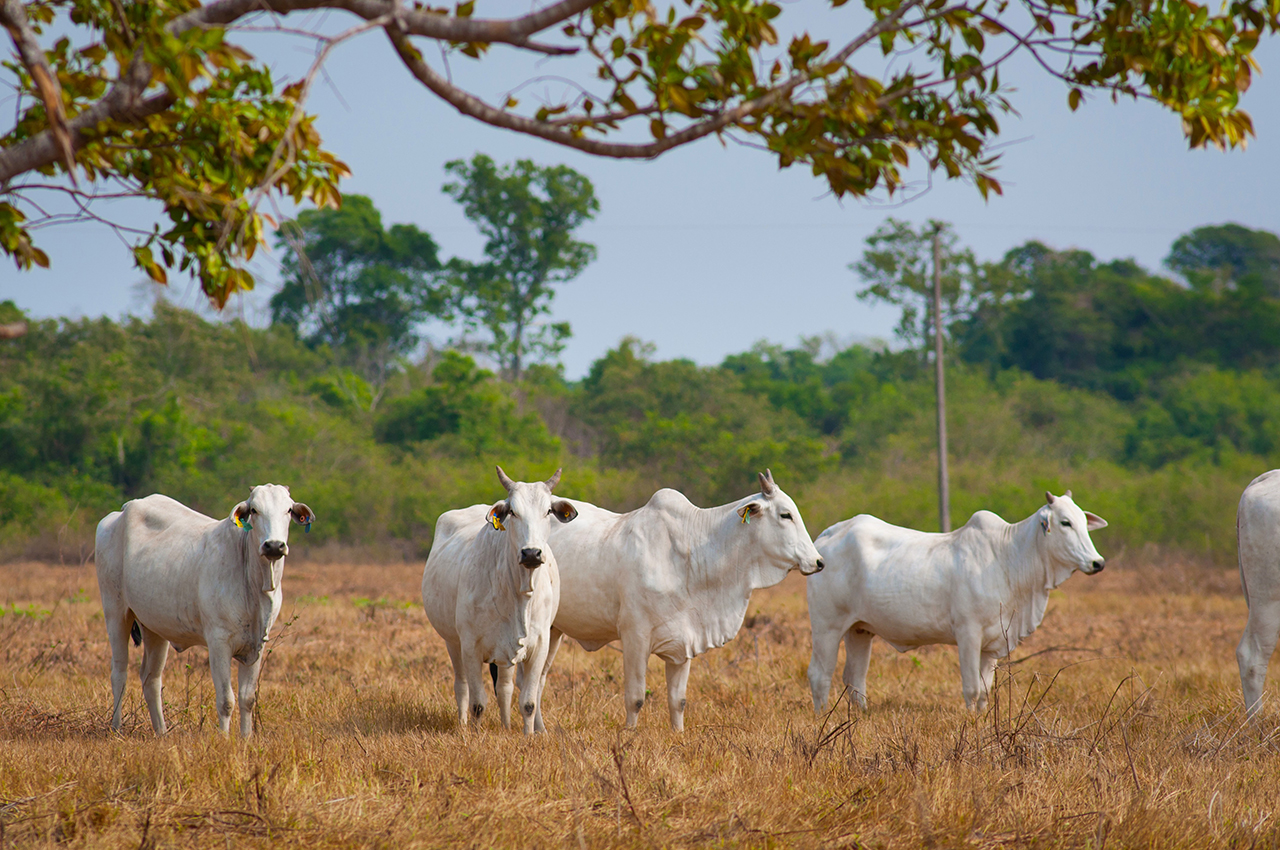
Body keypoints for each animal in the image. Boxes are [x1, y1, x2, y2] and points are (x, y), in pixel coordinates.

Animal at [94, 483, 314, 737]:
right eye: (255, 510)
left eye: (288, 510)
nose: (274, 545)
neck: (254, 584)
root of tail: (123, 510)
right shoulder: (219, 642)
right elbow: (226, 700)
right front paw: (224, 739)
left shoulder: (257, 644)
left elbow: (247, 699)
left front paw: (246, 738)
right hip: (115, 611)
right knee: (119, 673)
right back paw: (116, 728)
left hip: (154, 627)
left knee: (151, 679)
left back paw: (162, 733)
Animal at [422, 465, 578, 732]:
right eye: (513, 511)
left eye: (548, 511)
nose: (531, 553)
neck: (517, 593)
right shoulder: (470, 646)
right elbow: (478, 704)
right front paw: (475, 734)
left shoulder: (539, 645)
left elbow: (528, 703)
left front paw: (528, 735)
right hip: (452, 641)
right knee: (461, 686)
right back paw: (462, 725)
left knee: (504, 688)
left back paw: (505, 726)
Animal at [545, 468, 824, 732]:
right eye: (785, 515)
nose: (819, 561)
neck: (690, 552)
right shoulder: (635, 635)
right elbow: (635, 698)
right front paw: (629, 734)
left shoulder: (685, 639)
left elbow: (677, 701)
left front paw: (677, 735)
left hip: (553, 631)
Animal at [808, 489, 1100, 711]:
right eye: (1065, 522)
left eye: (1084, 523)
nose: (1098, 562)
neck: (1008, 556)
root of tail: (825, 537)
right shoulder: (968, 633)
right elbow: (972, 689)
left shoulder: (992, 643)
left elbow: (985, 691)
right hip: (827, 627)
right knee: (820, 675)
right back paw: (823, 719)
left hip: (859, 630)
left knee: (855, 678)